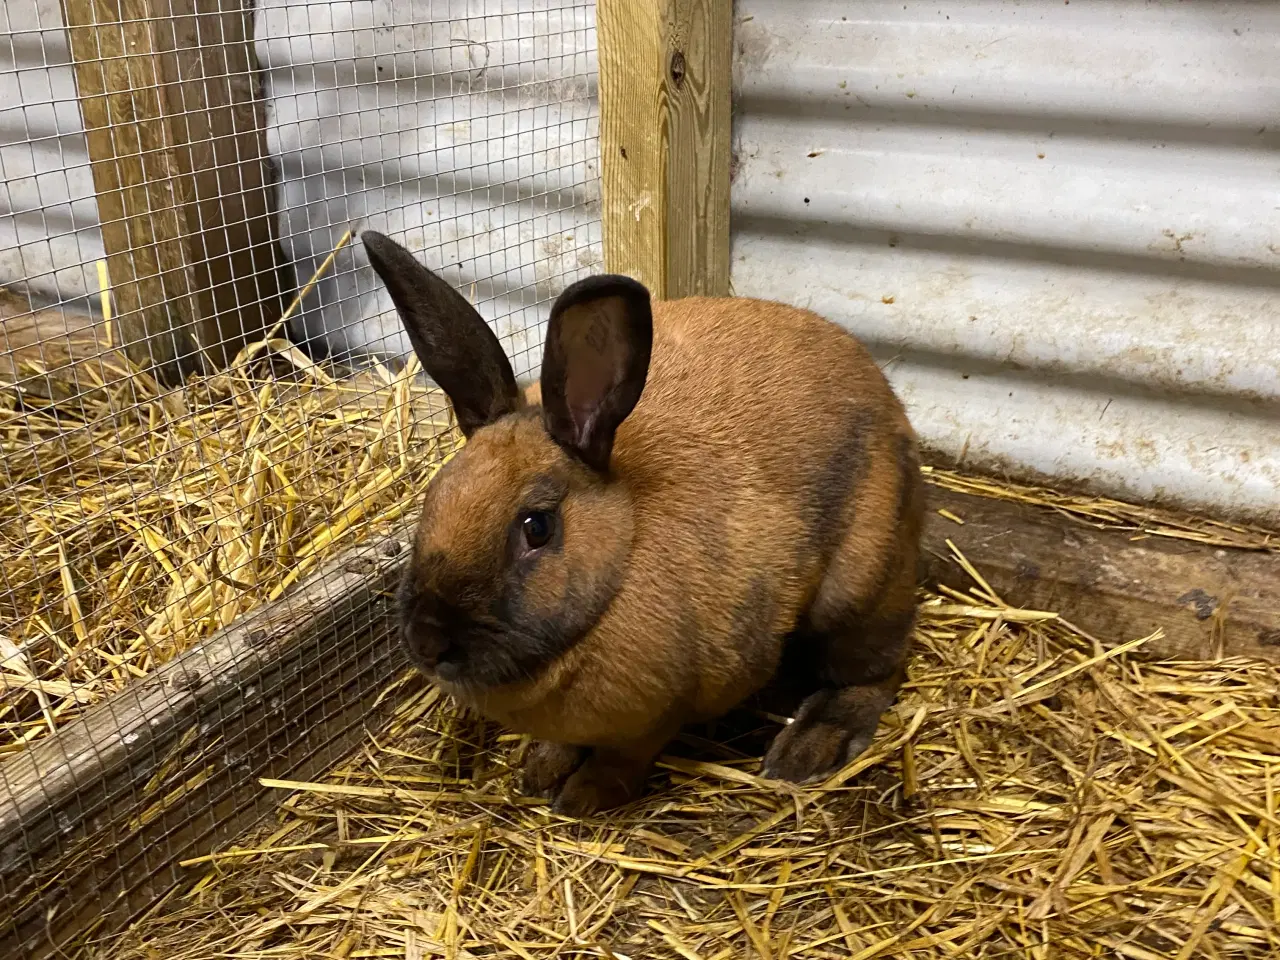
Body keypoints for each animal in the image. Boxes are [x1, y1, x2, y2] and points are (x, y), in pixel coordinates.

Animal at [360, 229, 921, 814]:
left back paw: (809, 748)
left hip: (860, 588)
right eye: (435, 496)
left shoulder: (660, 716)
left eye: (537, 527)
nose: (427, 641)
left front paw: (583, 796)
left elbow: (627, 755)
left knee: (875, 668)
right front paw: (541, 769)